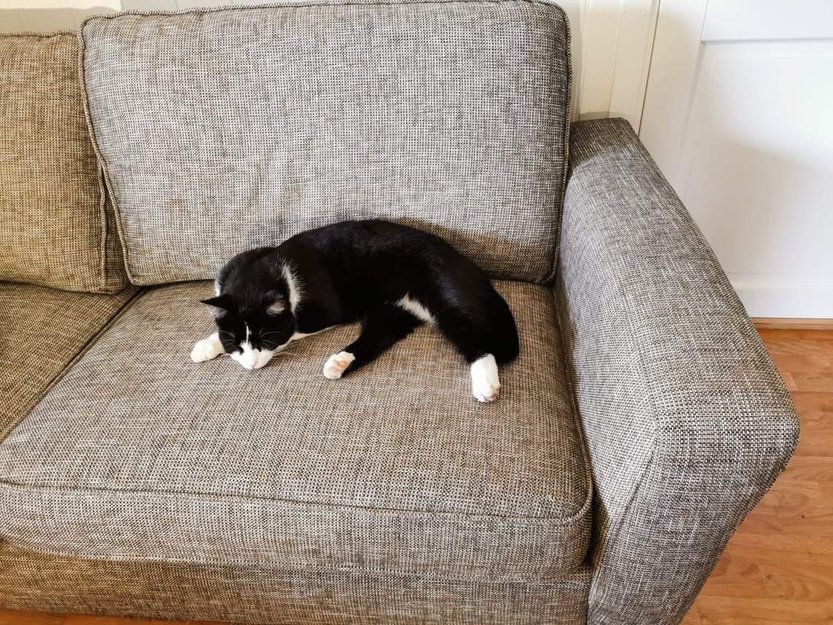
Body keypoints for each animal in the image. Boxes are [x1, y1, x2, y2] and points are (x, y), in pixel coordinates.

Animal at [190, 219, 519, 402]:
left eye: (266, 339)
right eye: (236, 342)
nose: (251, 365)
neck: (264, 274)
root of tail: (461, 258)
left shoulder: (323, 311)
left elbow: (292, 330)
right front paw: (207, 345)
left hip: (441, 293)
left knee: (473, 335)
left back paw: (486, 383)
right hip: (389, 308)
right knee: (382, 334)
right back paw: (339, 363)